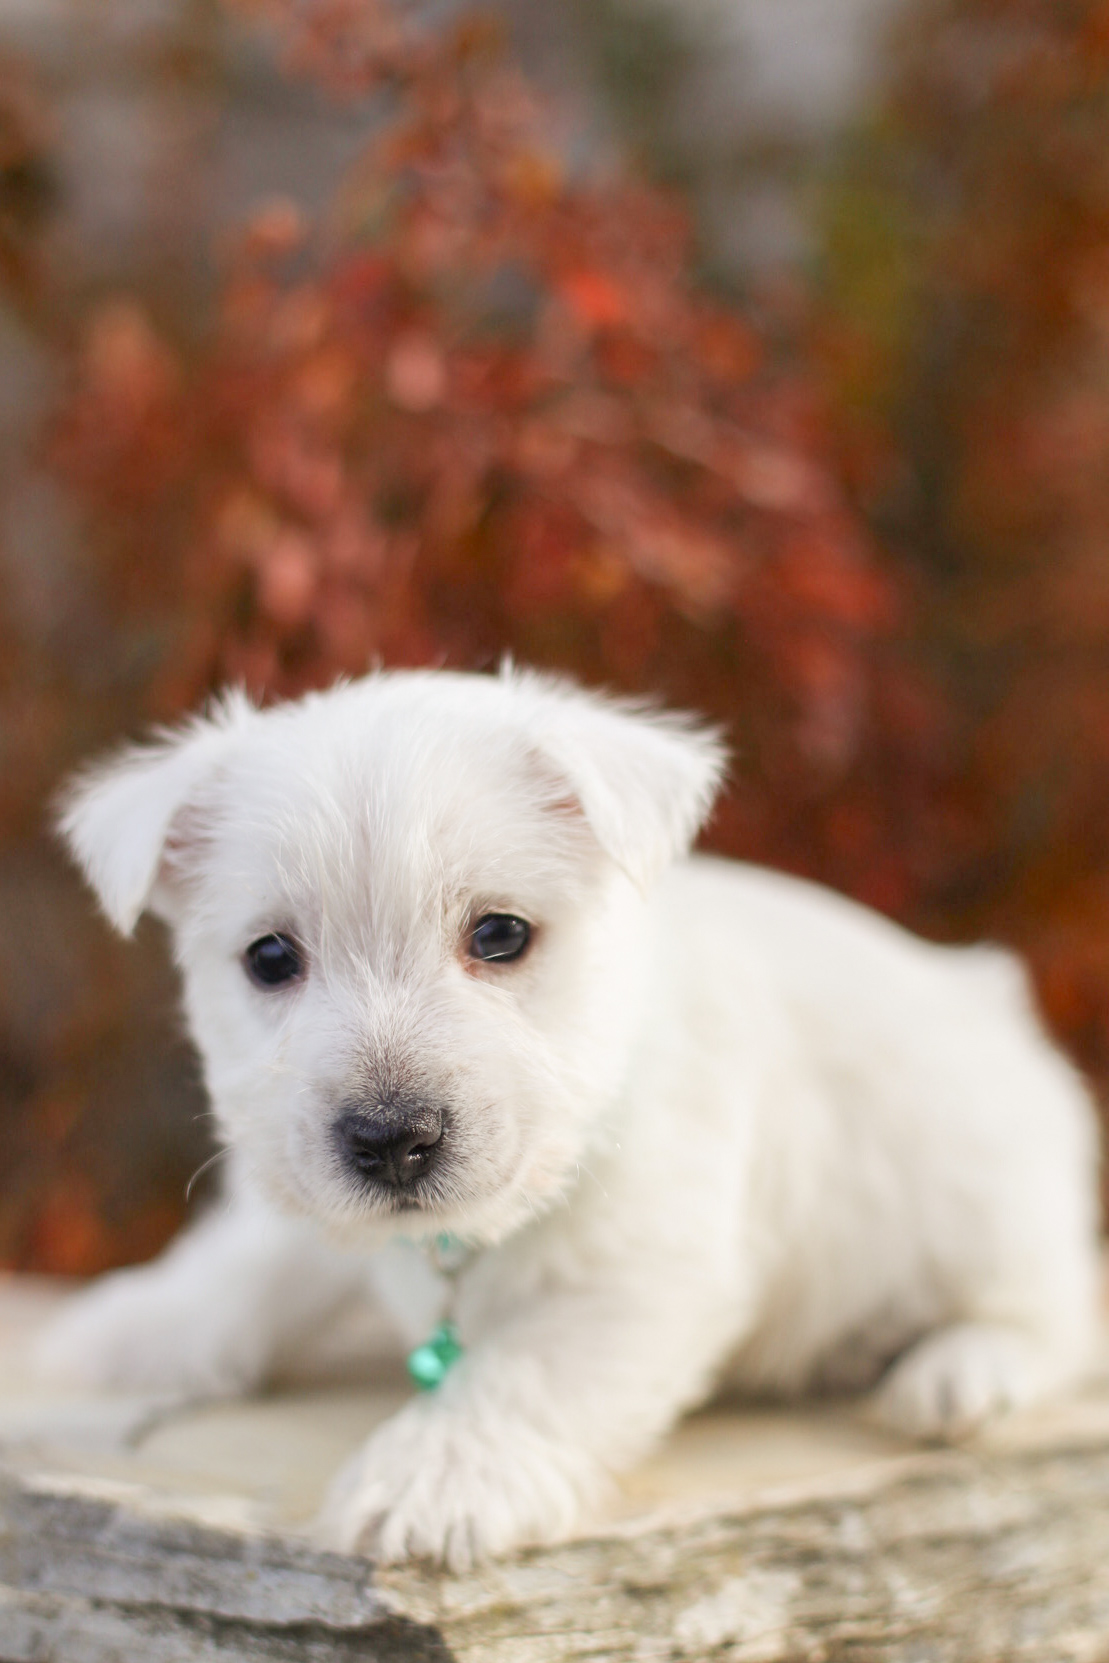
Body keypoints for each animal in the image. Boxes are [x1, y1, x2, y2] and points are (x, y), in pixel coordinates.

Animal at [36, 668, 1104, 1563]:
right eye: (269, 958)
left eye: (500, 934)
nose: (391, 1140)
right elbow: (255, 1258)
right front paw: (131, 1333)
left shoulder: (637, 1270)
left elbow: (520, 1374)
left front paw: (432, 1477)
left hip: (984, 1196)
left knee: (1057, 1304)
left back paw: (957, 1372)